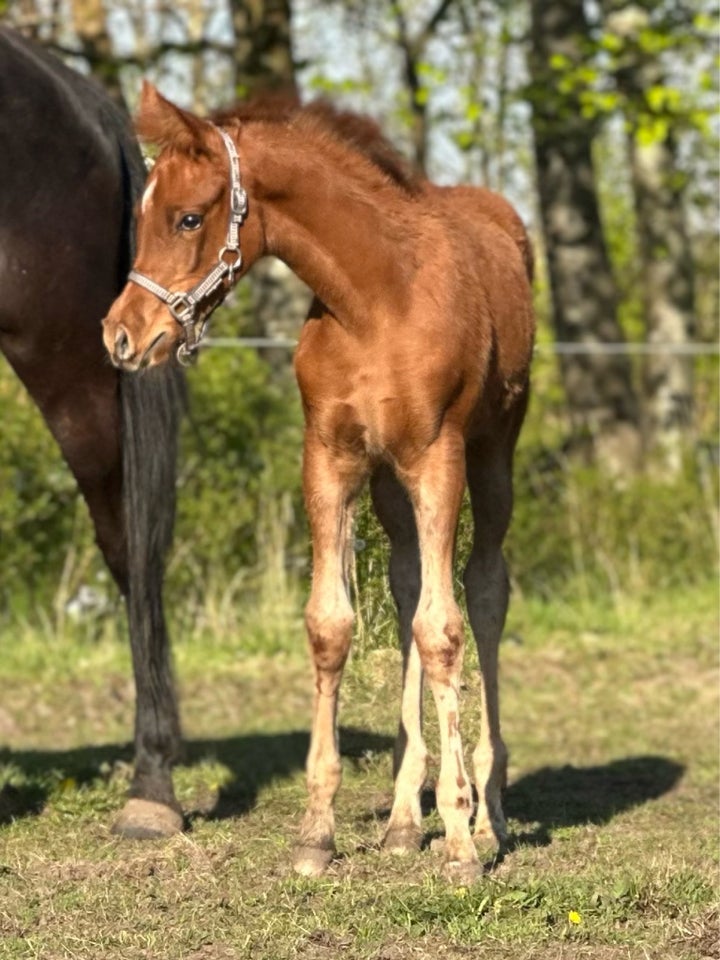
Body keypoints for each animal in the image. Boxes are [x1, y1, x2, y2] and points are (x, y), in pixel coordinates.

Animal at [104, 82, 536, 876]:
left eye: (189, 217)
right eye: (142, 217)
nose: (121, 335)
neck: (377, 300)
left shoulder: (438, 455)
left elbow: (444, 630)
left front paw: (460, 839)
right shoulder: (329, 456)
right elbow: (333, 626)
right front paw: (318, 832)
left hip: (494, 454)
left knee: (486, 591)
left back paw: (489, 813)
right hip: (390, 482)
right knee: (405, 585)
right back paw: (402, 820)